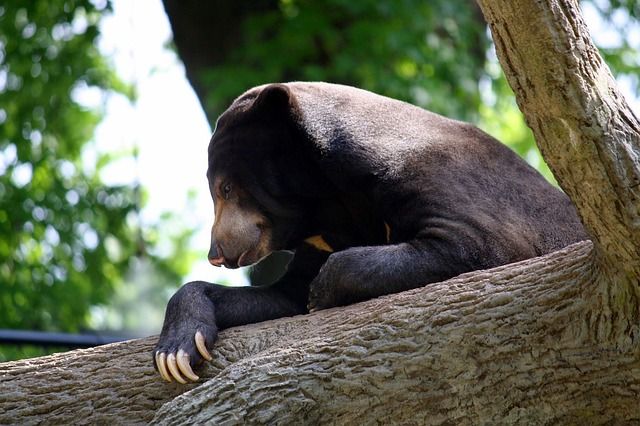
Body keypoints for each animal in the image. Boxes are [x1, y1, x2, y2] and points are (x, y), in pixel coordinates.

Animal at [152, 82, 588, 382]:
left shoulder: (436, 176)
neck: (327, 203)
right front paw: (176, 354)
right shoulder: (320, 237)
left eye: (225, 188)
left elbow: (477, 244)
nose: (216, 253)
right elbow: (281, 296)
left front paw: (322, 292)